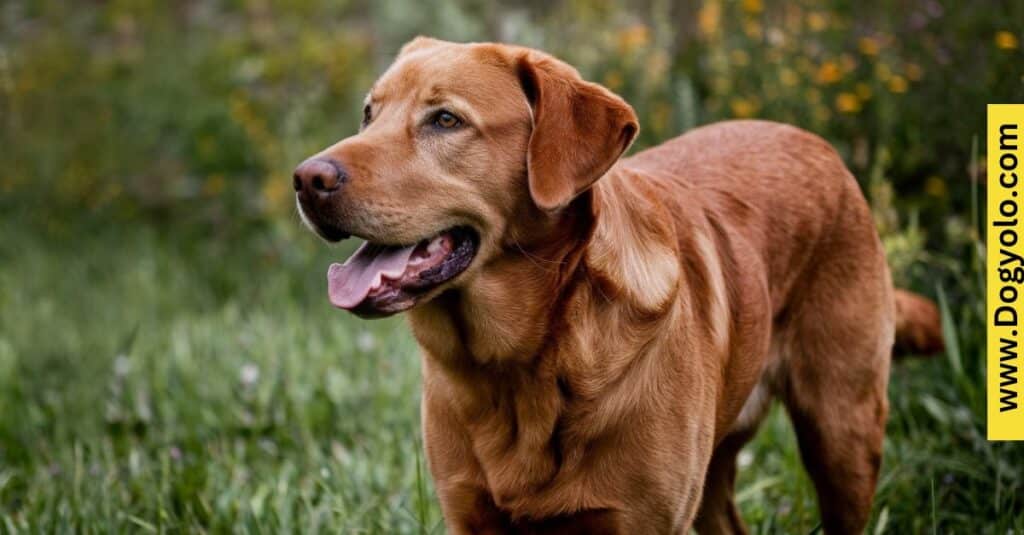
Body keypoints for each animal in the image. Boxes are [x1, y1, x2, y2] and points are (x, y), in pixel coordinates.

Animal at [290, 38, 942, 532]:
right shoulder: (468, 512)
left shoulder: (639, 518)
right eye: (369, 114)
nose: (306, 178)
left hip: (843, 431)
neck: (521, 365)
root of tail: (817, 143)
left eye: (445, 120)